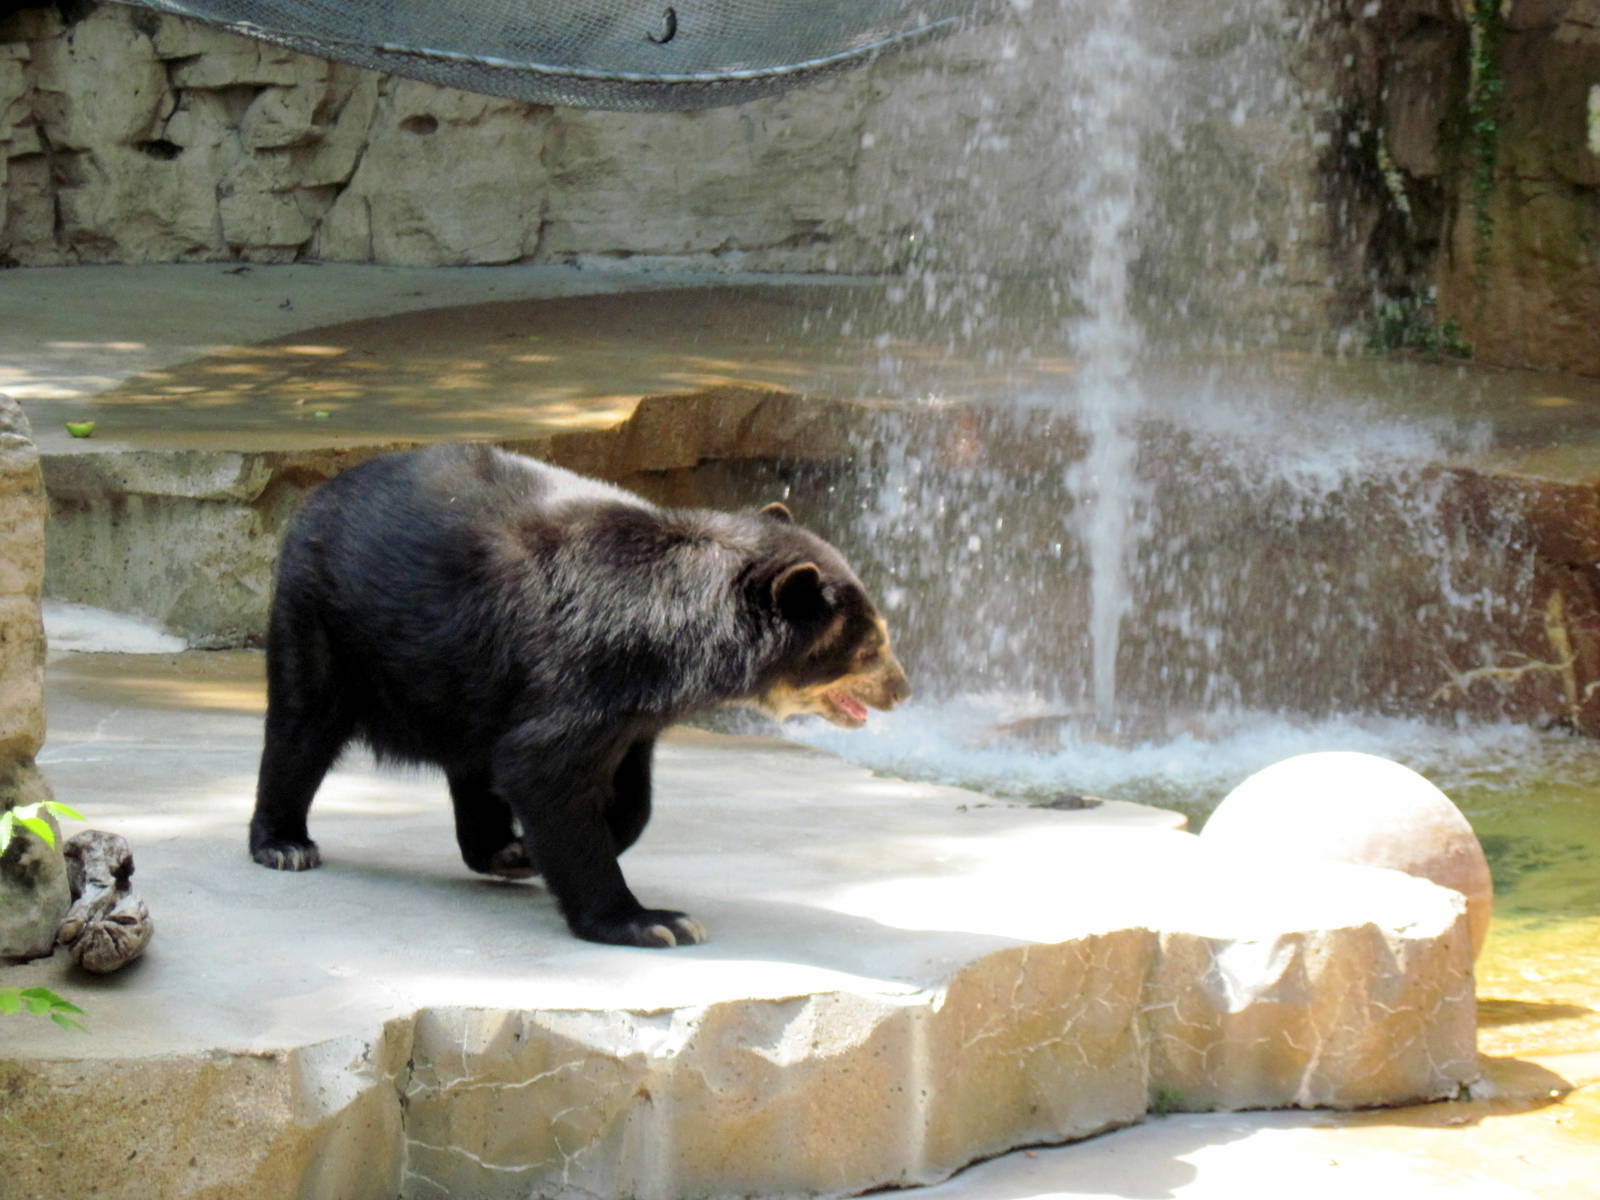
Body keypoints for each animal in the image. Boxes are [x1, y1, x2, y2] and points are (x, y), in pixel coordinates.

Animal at [248, 443, 910, 948]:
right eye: (868, 647)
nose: (901, 691)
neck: (677, 637)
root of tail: (318, 496)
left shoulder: (634, 702)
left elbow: (626, 789)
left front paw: (556, 845)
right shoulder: (585, 663)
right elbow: (543, 766)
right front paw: (652, 922)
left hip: (464, 667)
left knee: (473, 757)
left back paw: (500, 850)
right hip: (325, 618)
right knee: (304, 724)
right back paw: (284, 843)